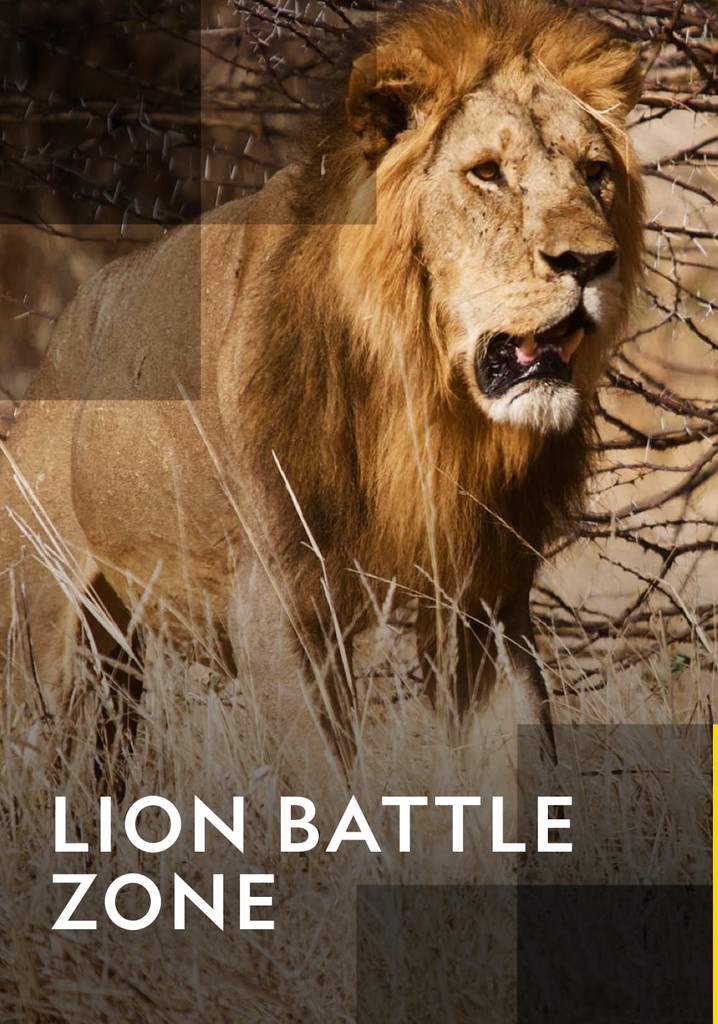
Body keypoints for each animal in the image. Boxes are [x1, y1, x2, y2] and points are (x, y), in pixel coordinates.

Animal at [0, 0, 643, 765]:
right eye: (486, 173)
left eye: (595, 172)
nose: (591, 261)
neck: (420, 394)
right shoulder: (277, 600)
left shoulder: (483, 602)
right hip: (49, 648)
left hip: (112, 681)